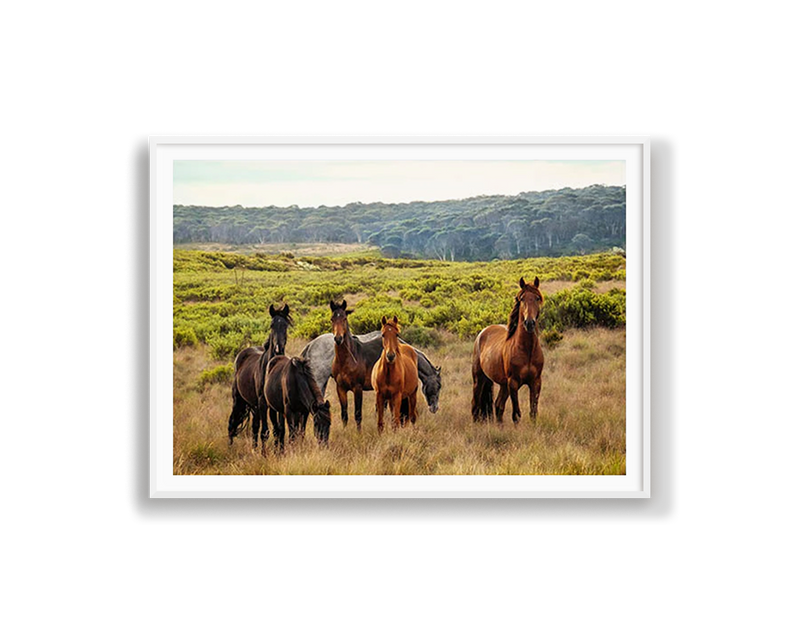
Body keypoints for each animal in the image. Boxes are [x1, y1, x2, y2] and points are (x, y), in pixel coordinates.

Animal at [227, 302, 292, 448]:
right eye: (272, 325)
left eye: (285, 325)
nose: (278, 349)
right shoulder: (262, 403)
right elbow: (265, 431)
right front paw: (265, 453)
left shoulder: (277, 405)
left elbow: (280, 430)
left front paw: (280, 450)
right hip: (239, 401)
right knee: (232, 423)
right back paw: (231, 447)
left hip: (254, 406)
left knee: (255, 427)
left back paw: (254, 448)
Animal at [328, 298, 376, 430]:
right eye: (332, 319)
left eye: (344, 318)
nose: (338, 339)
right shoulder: (340, 388)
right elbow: (344, 415)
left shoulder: (357, 388)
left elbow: (358, 415)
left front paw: (358, 434)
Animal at [468, 276, 544, 422]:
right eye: (522, 299)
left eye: (537, 298)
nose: (529, 323)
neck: (527, 350)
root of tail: (483, 332)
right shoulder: (513, 383)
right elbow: (516, 415)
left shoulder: (536, 382)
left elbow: (533, 413)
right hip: (479, 379)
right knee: (475, 405)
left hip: (503, 385)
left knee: (498, 406)